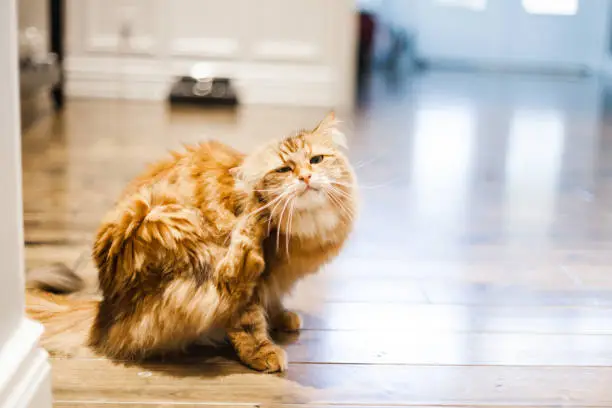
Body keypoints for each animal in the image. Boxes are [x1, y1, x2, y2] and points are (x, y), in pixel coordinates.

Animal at [26, 112, 356, 372]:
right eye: (284, 169)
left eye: (316, 160)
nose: (306, 177)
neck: (304, 230)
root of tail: (106, 313)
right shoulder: (257, 288)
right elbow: (248, 322)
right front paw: (263, 352)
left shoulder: (276, 282)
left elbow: (273, 302)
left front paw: (281, 317)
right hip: (158, 217)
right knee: (230, 279)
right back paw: (252, 228)